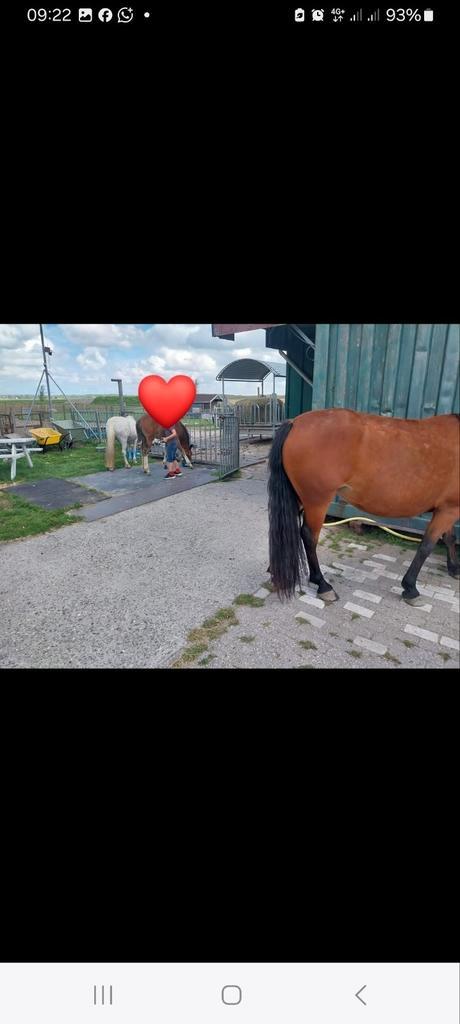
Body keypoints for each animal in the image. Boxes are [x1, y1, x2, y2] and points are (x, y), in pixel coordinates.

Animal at [268, 409, 460, 605]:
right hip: (317, 501)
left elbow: (450, 538)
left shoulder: (448, 508)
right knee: (308, 536)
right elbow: (426, 546)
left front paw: (454, 568)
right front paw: (410, 588)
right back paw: (323, 585)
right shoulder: (449, 509)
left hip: (300, 498)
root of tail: (294, 423)